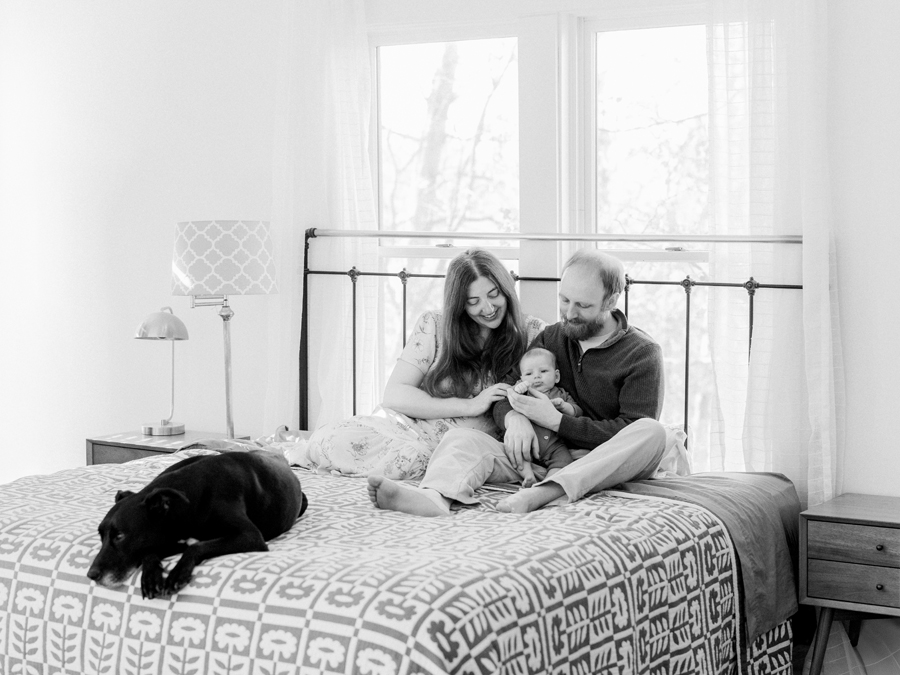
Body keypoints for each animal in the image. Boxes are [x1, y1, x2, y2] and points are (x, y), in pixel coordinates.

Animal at [89, 452, 306, 600]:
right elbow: (150, 552)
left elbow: (196, 546)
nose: (91, 575)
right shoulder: (169, 539)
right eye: (100, 536)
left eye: (120, 536)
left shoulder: (250, 536)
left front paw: (177, 573)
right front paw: (150, 575)